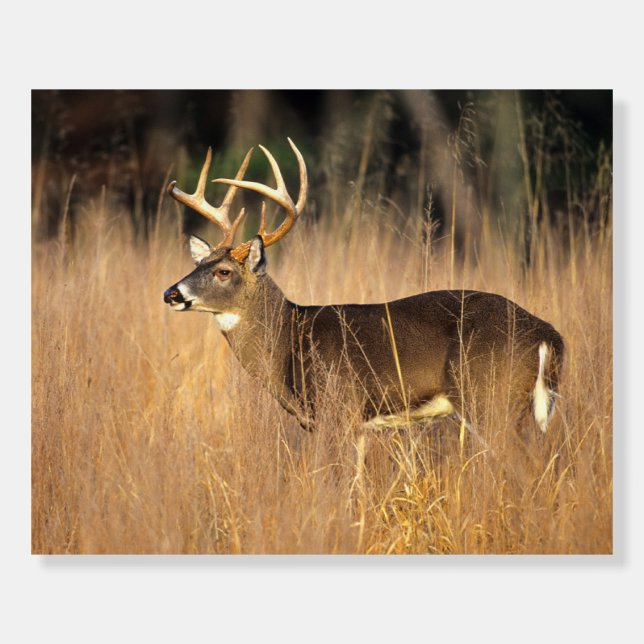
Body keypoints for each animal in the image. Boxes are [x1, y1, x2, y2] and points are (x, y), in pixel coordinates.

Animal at [163, 139, 564, 436]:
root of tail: (547, 334)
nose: (172, 293)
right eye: (197, 264)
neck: (289, 339)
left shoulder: (338, 407)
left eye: (224, 271)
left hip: (489, 397)